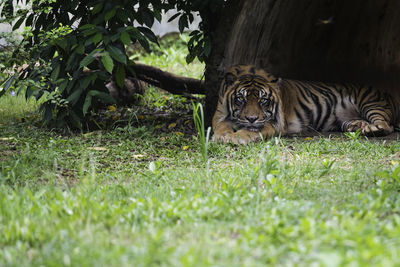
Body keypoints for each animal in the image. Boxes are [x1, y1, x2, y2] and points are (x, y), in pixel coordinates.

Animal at [211, 64, 398, 144]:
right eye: (240, 99)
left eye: (263, 100)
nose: (251, 118)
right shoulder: (220, 116)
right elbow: (220, 127)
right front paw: (221, 136)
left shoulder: (273, 123)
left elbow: (251, 131)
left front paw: (236, 138)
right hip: (346, 119)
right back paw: (359, 126)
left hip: (371, 102)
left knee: (386, 125)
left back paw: (373, 129)